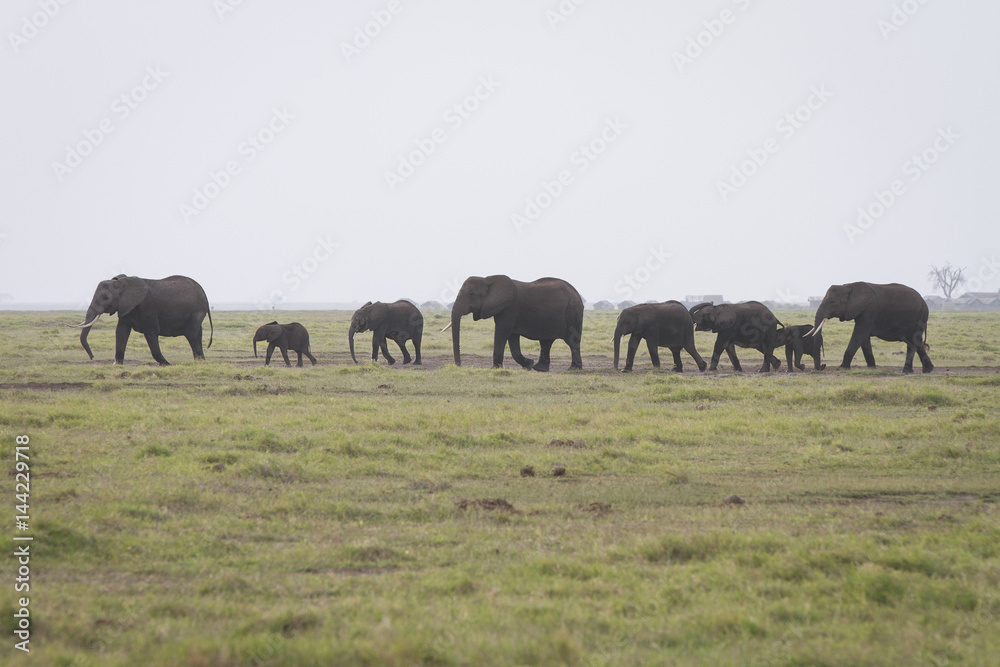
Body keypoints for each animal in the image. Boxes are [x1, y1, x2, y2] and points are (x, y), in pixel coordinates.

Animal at [71, 274, 214, 366]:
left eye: (105, 297)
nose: (92, 357)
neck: (122, 282)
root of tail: (205, 295)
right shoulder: (126, 307)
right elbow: (121, 332)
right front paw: (117, 364)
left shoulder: (146, 305)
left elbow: (151, 332)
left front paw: (166, 364)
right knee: (198, 334)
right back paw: (201, 361)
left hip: (196, 311)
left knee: (191, 334)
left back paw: (199, 362)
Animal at [444, 276, 584, 374]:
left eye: (471, 294)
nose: (459, 365)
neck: (488, 279)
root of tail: (577, 293)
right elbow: (512, 337)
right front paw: (528, 365)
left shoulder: (509, 308)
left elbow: (502, 331)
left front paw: (494, 369)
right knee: (546, 342)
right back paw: (540, 369)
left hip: (573, 312)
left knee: (572, 341)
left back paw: (573, 369)